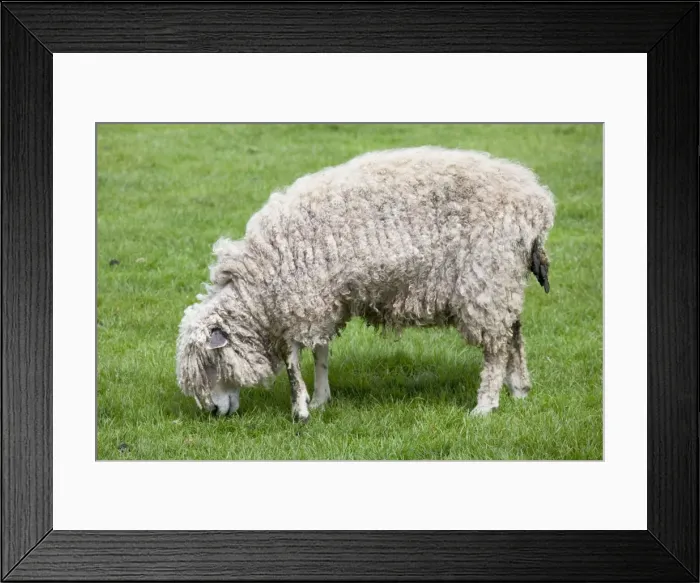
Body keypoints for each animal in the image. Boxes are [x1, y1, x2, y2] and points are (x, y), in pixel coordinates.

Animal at [175, 146, 555, 422]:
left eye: (210, 364)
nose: (214, 412)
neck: (259, 285)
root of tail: (537, 202)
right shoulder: (322, 301)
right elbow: (321, 353)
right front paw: (321, 400)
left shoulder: (299, 300)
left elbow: (292, 362)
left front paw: (300, 410)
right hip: (502, 279)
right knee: (513, 333)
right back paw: (518, 388)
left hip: (485, 277)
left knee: (495, 347)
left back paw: (485, 405)